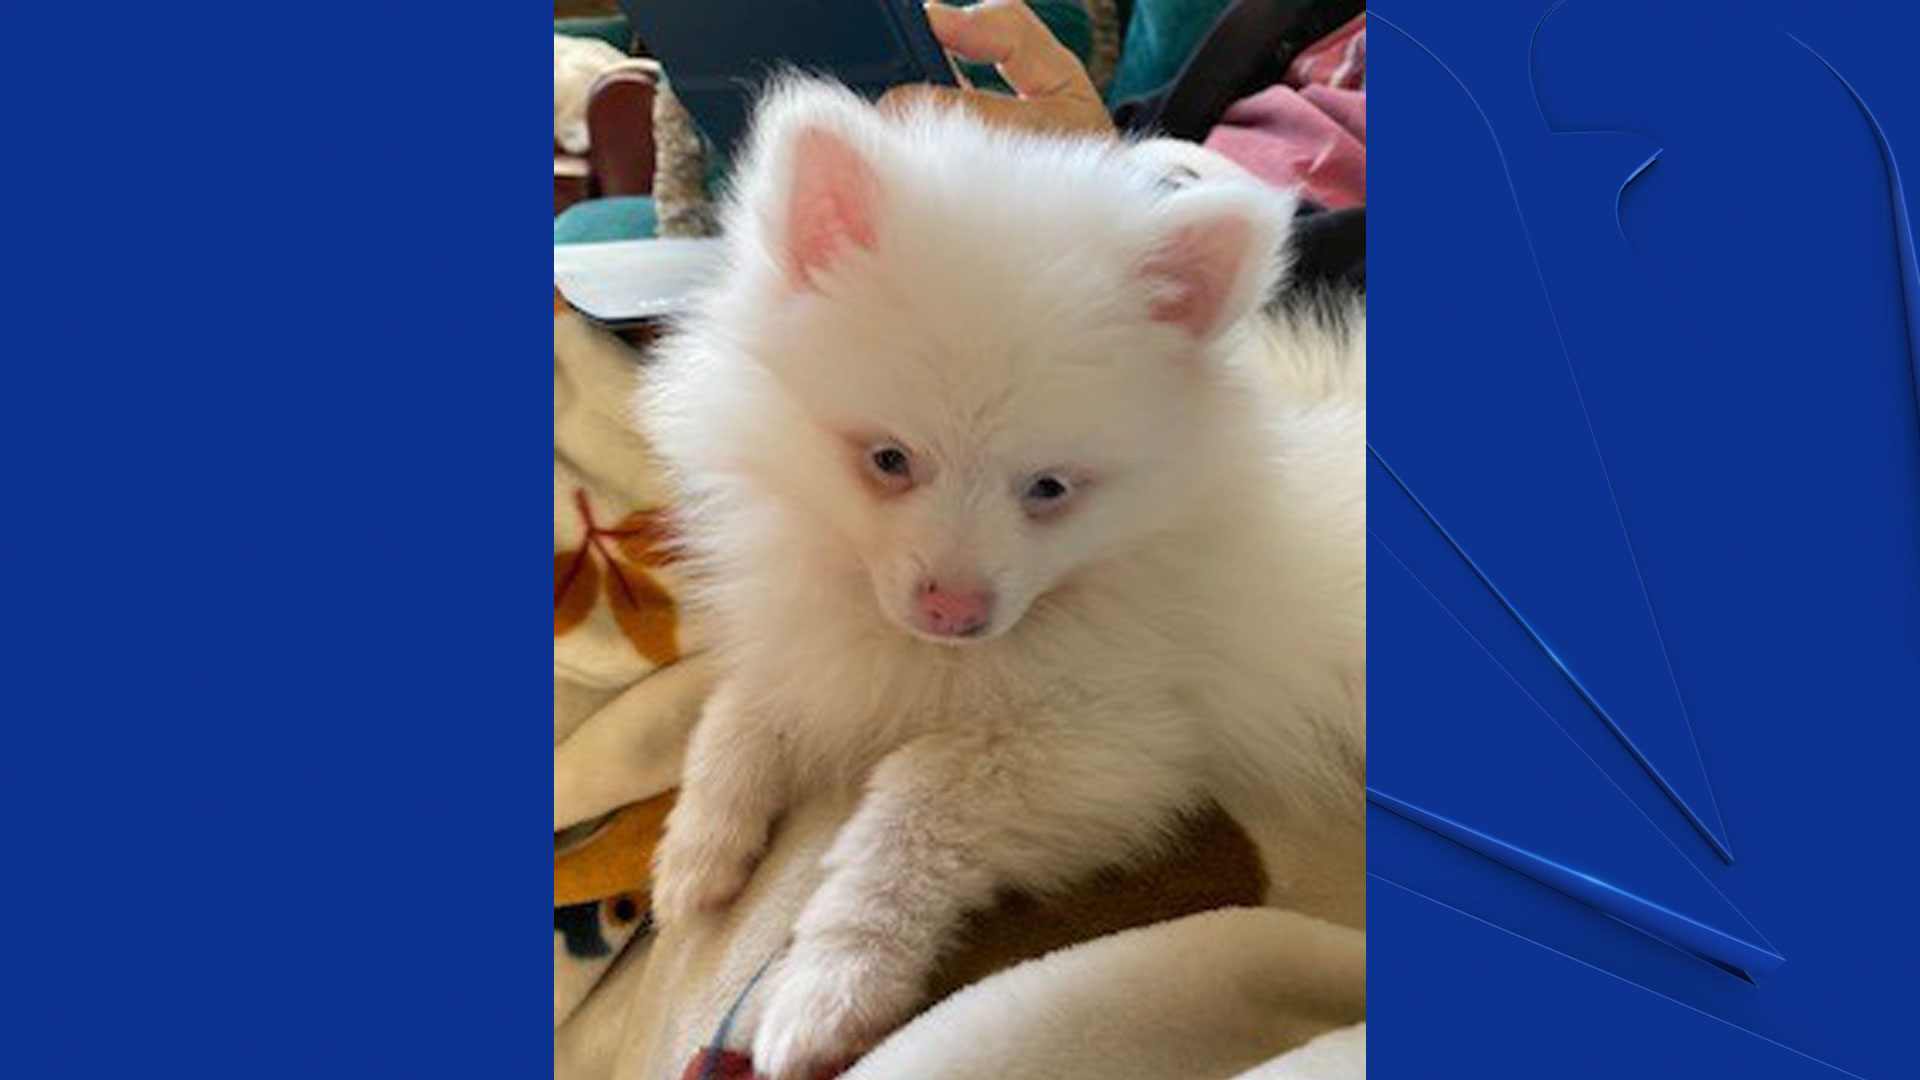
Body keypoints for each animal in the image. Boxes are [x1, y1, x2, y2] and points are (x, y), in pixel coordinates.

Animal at [637, 77, 1359, 1076]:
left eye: (1048, 488)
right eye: (889, 459)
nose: (954, 610)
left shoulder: (1116, 741)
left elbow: (915, 802)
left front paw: (831, 985)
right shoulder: (826, 642)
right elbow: (749, 703)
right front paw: (698, 847)